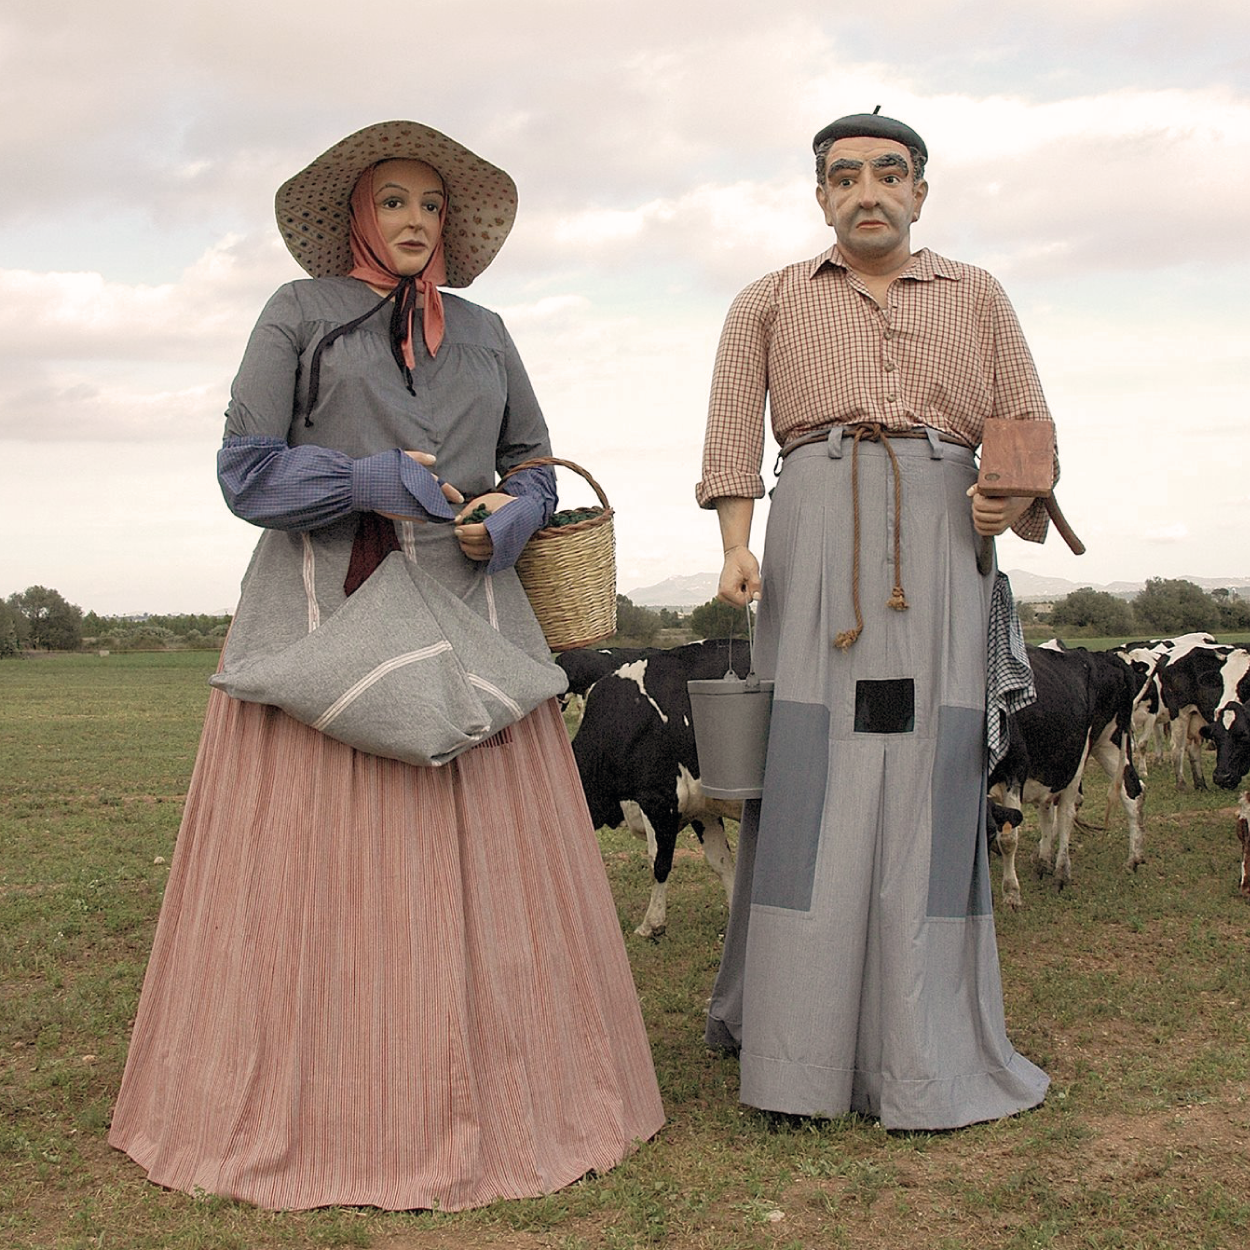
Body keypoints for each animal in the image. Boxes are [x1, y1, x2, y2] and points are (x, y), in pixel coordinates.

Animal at [990, 650, 1145, 905]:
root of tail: (1099, 656)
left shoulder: (1016, 769)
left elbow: (1009, 839)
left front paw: (1012, 893)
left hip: (1082, 753)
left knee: (1066, 812)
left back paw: (1061, 872)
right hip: (1105, 744)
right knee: (1132, 790)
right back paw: (1132, 859)